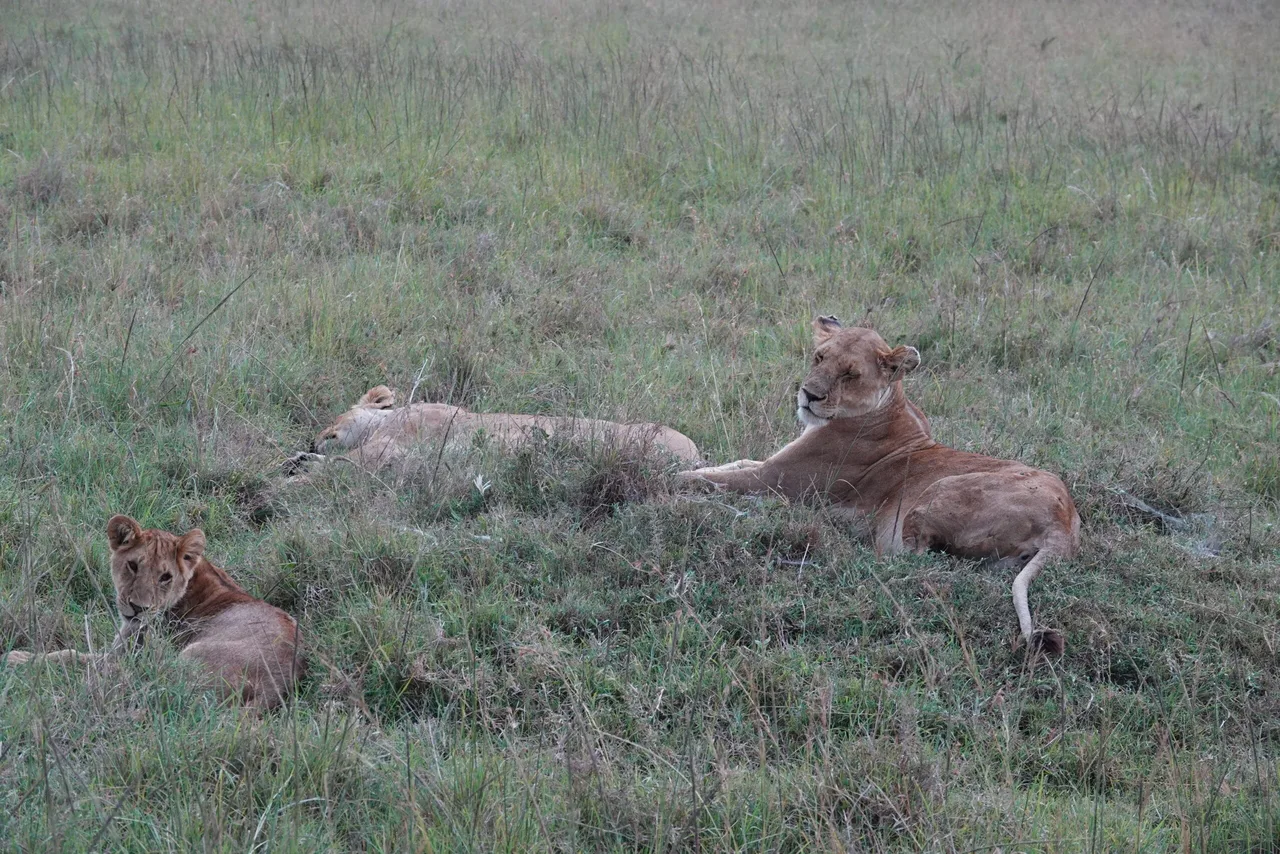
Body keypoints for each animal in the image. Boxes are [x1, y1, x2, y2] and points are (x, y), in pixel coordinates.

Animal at [3, 515, 302, 709]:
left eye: (165, 577)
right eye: (133, 565)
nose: (139, 608)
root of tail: (276, 687)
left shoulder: (126, 655)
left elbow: (71, 656)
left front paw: (16, 658)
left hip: (180, 662)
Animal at [679, 316, 1080, 655]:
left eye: (850, 374)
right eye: (819, 357)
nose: (808, 395)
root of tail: (1064, 523)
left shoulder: (773, 480)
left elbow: (714, 479)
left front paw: (673, 481)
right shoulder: (767, 468)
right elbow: (728, 465)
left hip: (934, 494)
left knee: (911, 559)